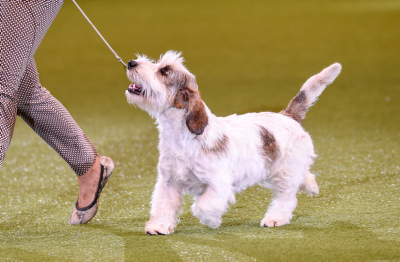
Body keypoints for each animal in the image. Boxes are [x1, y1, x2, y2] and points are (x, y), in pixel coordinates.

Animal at [124, 51, 340, 235]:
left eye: (165, 71)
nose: (131, 63)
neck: (181, 137)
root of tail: (288, 116)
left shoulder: (218, 184)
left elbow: (202, 206)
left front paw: (212, 221)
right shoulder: (169, 181)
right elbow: (163, 205)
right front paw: (159, 227)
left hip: (284, 173)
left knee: (286, 197)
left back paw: (275, 218)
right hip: (271, 171)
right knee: (303, 177)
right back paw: (311, 186)